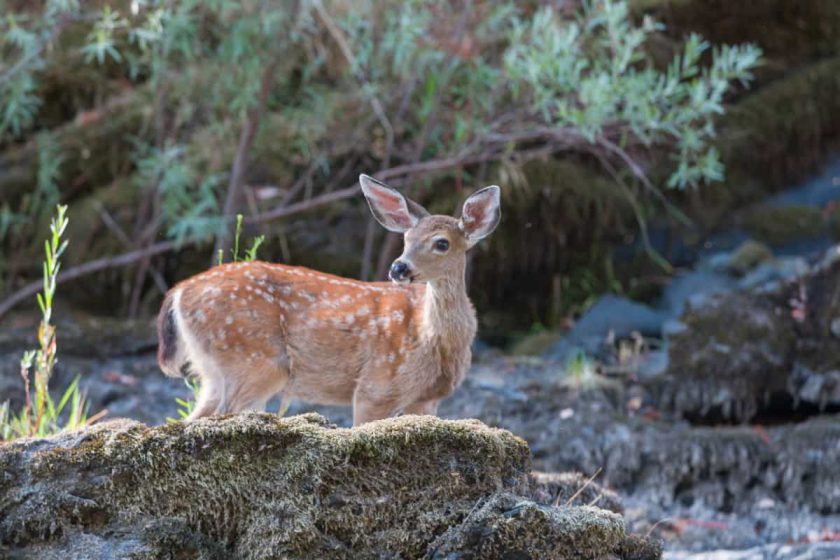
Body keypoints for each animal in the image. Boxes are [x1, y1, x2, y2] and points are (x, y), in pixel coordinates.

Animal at [157, 175, 498, 424]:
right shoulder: (376, 386)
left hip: (213, 370)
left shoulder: (426, 399)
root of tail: (178, 292)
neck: (432, 339)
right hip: (254, 358)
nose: (398, 267)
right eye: (406, 239)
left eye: (442, 243)